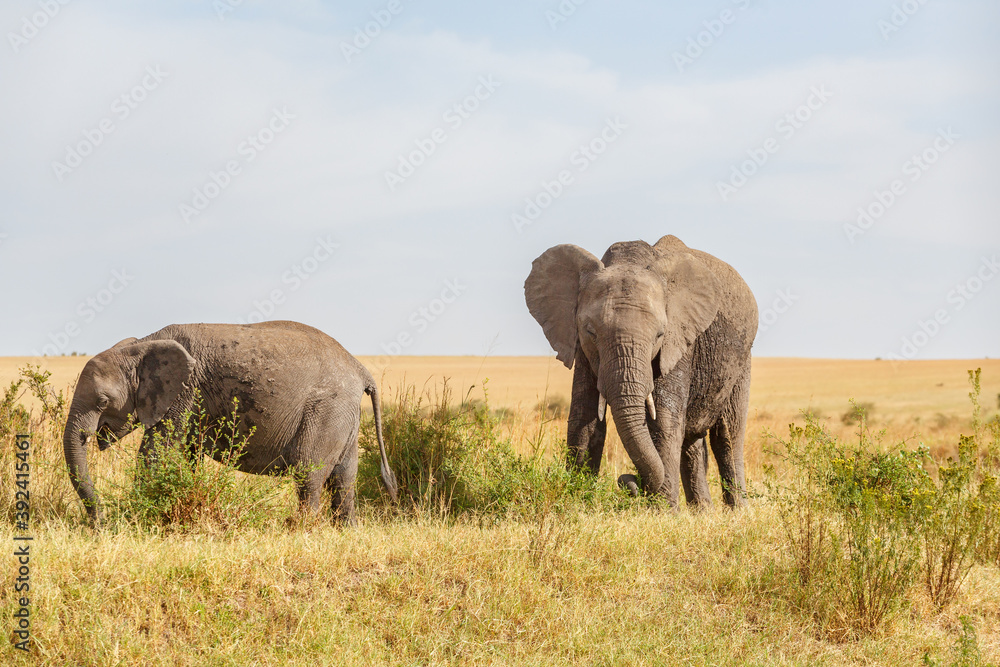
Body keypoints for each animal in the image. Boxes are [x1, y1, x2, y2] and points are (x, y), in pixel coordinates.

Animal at [62, 320, 398, 525]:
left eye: (102, 402)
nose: (99, 523)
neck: (142, 345)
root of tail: (361, 369)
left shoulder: (185, 390)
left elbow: (156, 452)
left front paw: (137, 519)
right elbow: (187, 454)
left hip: (327, 408)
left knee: (308, 471)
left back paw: (302, 528)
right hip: (343, 413)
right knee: (344, 477)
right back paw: (346, 530)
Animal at [524, 235, 757, 508]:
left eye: (659, 334)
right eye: (591, 331)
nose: (628, 480)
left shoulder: (678, 341)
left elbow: (663, 420)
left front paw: (662, 513)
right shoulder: (582, 347)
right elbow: (584, 417)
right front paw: (578, 500)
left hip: (742, 358)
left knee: (728, 435)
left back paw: (737, 512)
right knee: (692, 441)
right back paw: (703, 512)